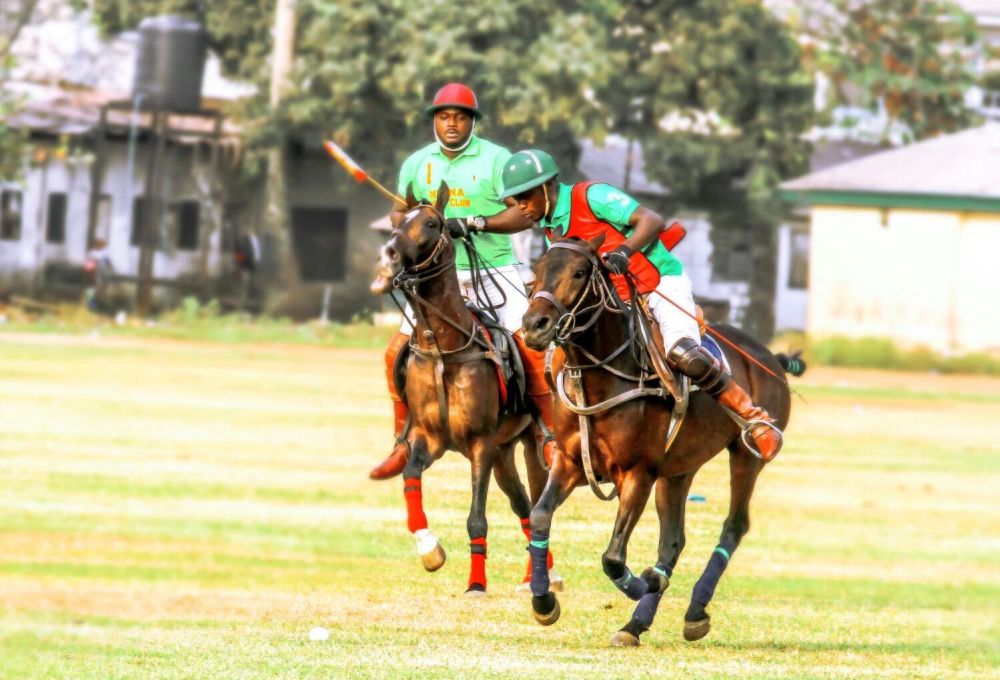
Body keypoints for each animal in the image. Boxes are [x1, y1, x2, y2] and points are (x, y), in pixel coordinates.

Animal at [370, 183, 552, 592]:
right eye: (399, 221)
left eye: (432, 223)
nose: (388, 256)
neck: (444, 347)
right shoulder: (430, 437)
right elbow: (410, 476)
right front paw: (429, 550)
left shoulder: (481, 442)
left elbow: (476, 518)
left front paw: (476, 584)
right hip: (503, 451)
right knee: (524, 506)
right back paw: (532, 575)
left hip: (526, 443)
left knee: (537, 501)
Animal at [520, 236, 800, 644]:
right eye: (537, 269)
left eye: (579, 272)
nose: (533, 325)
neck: (605, 373)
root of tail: (770, 358)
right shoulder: (571, 463)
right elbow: (540, 515)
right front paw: (543, 603)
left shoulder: (639, 472)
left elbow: (613, 557)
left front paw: (644, 582)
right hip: (679, 470)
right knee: (673, 540)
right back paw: (635, 624)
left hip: (745, 458)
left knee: (734, 524)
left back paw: (693, 609)